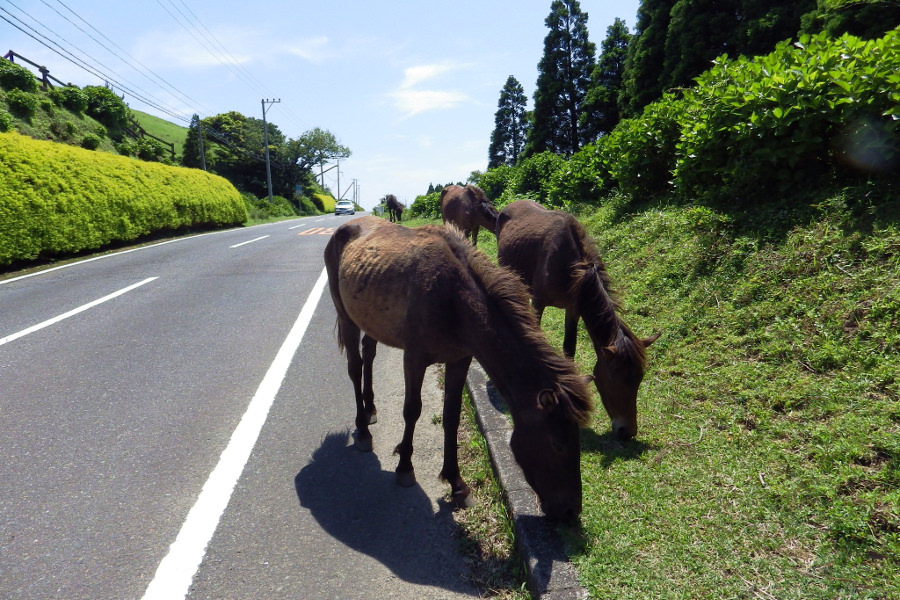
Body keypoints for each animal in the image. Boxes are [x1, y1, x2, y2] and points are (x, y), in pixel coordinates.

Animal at [324, 216, 594, 522]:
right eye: (558, 445)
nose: (571, 511)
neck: (454, 298)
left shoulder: (459, 360)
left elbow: (451, 416)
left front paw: (456, 482)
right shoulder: (414, 359)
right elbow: (412, 410)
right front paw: (405, 466)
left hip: (371, 320)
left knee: (369, 354)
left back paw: (370, 409)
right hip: (346, 316)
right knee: (355, 367)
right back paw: (362, 429)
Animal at [496, 200, 659, 440]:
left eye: (639, 380)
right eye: (616, 380)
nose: (627, 431)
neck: (572, 267)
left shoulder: (573, 308)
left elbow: (569, 347)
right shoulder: (539, 301)